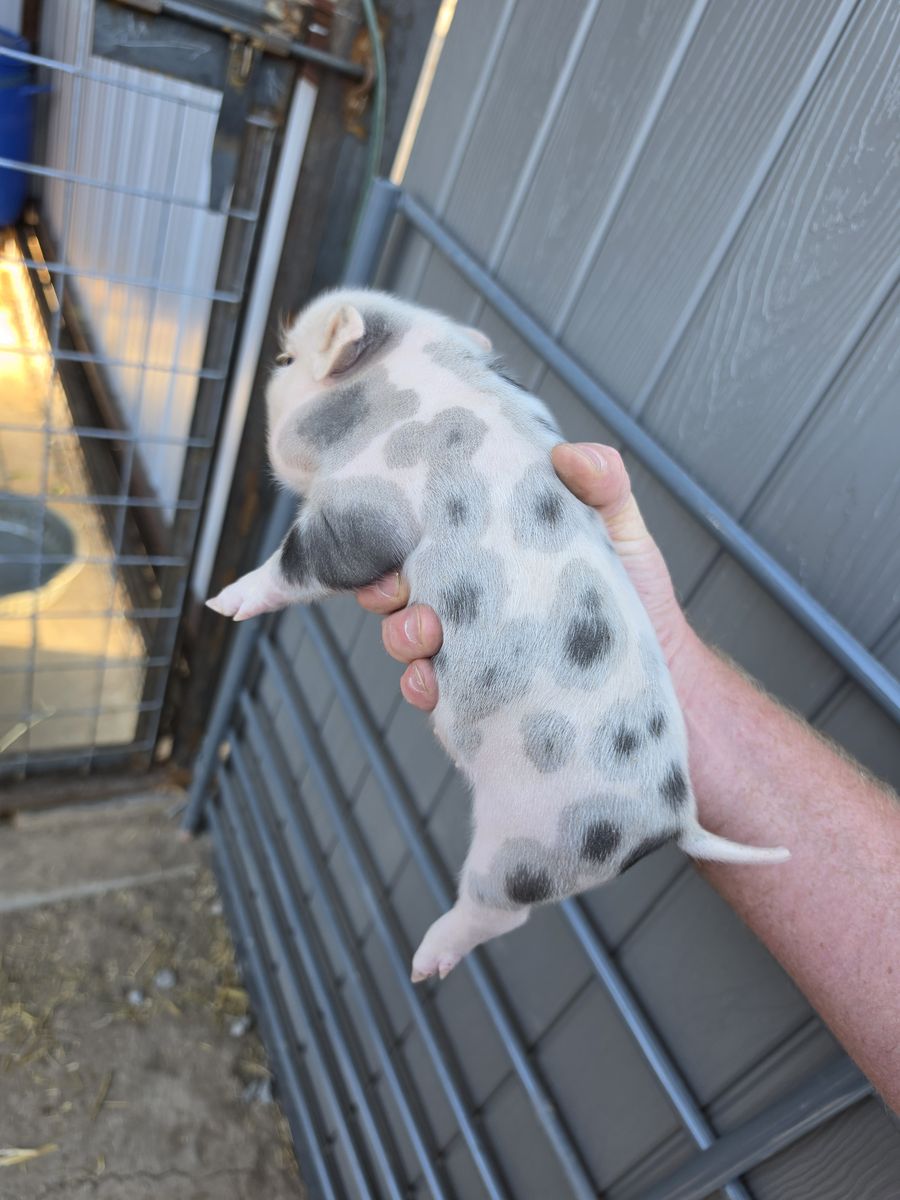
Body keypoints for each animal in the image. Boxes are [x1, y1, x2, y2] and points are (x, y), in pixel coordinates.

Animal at [207, 288, 790, 982]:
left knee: (500, 913)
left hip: (527, 847)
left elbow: (303, 563)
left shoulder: (366, 515)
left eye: (288, 359)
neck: (411, 381)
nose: (270, 372)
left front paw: (221, 602)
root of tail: (673, 819)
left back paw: (423, 965)